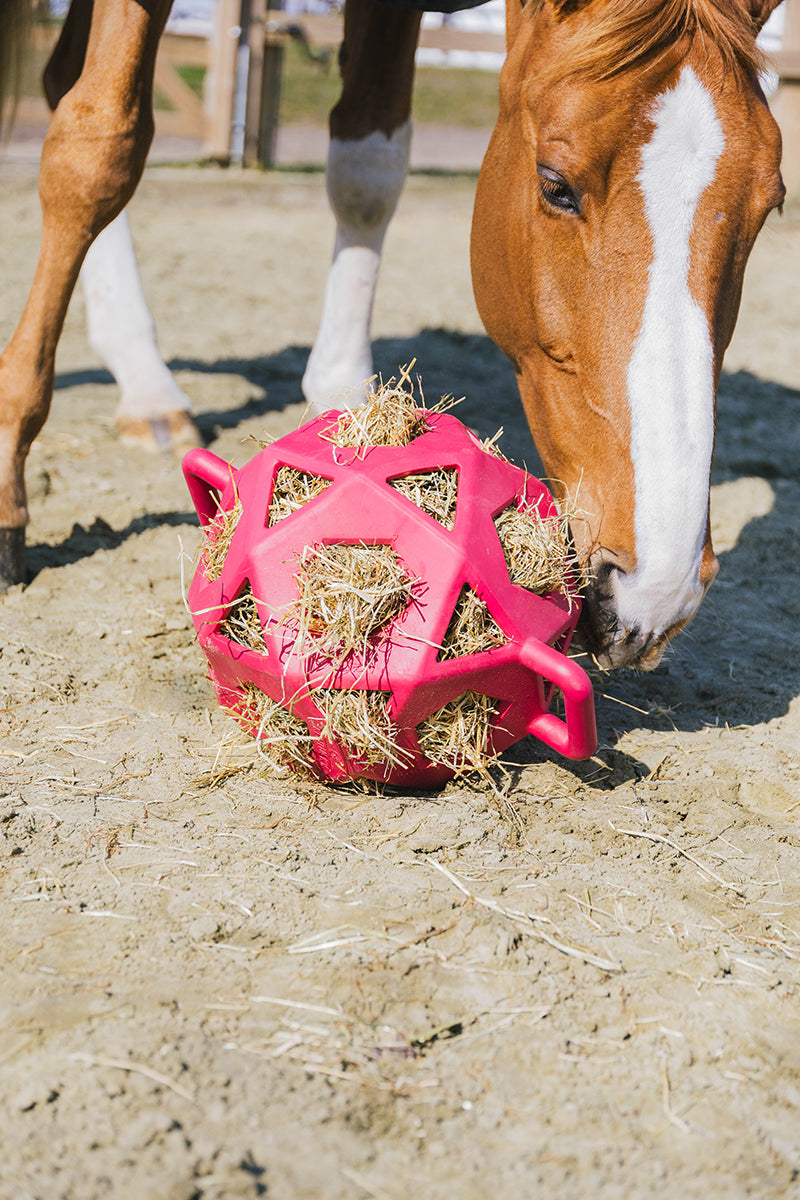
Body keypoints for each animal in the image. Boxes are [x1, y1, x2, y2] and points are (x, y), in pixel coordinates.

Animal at [0, 0, 786, 676]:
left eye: (770, 206)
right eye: (555, 184)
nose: (657, 590)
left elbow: (367, 167)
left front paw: (349, 405)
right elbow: (96, 151)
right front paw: (9, 464)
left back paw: (144, 382)